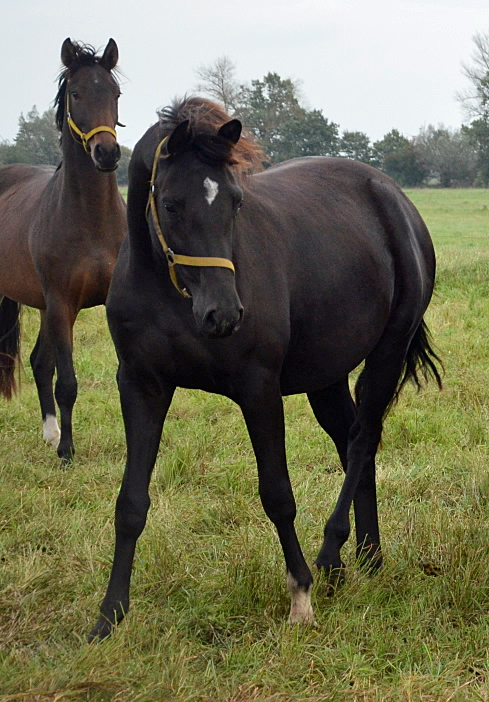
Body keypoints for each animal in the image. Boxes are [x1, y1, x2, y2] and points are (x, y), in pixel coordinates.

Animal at [0, 41, 127, 464]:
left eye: (115, 93)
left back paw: (50, 432)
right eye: (75, 93)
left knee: (40, 363)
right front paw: (68, 452)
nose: (107, 153)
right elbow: (68, 382)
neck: (91, 223)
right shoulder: (62, 304)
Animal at [88, 96, 442, 640]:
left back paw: (331, 552)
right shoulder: (141, 385)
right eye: (170, 204)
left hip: (386, 352)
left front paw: (300, 595)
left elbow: (277, 493)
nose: (223, 314)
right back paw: (367, 556)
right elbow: (130, 503)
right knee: (353, 443)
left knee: (363, 440)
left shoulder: (258, 389)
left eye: (235, 202)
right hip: (326, 377)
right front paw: (109, 615)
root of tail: (396, 198)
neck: (171, 293)